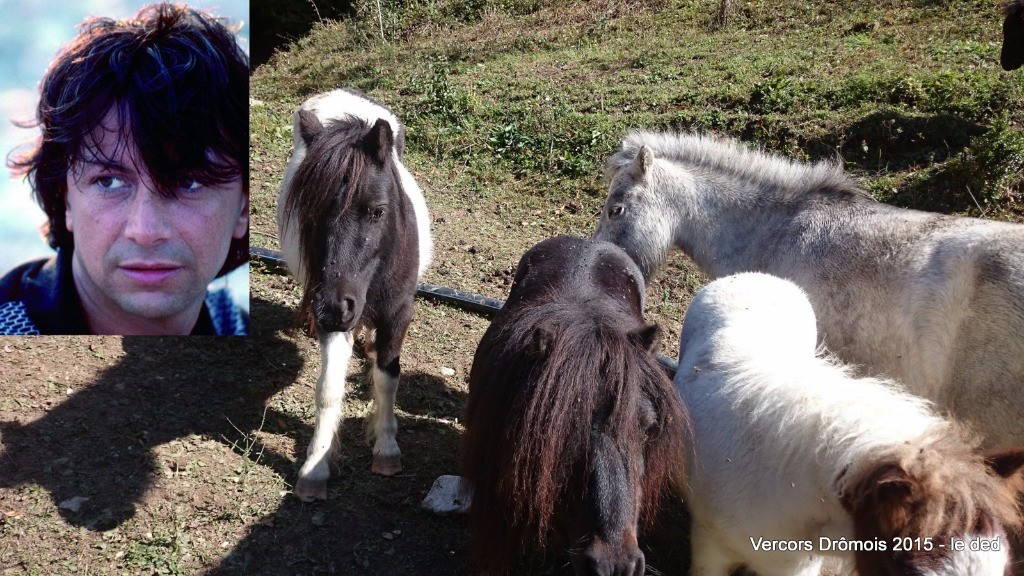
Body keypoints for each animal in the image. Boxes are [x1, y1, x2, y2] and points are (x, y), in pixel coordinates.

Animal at [276, 87, 432, 500]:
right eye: (309, 214)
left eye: (377, 211)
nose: (332, 308)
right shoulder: (335, 315)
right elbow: (329, 389)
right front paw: (315, 468)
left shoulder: (398, 313)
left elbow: (387, 377)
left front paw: (386, 448)